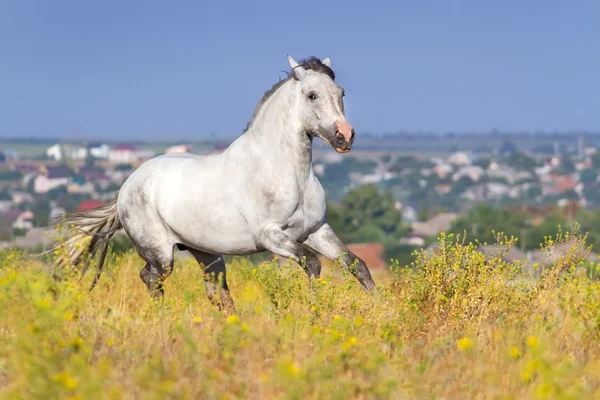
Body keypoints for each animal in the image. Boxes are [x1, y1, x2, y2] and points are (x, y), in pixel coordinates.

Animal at [54, 55, 378, 312]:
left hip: (206, 252)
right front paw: (315, 313)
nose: (344, 136)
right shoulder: (271, 235)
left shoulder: (315, 231)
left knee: (216, 293)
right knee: (152, 278)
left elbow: (356, 265)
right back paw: (164, 319)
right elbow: (312, 264)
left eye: (340, 92)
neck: (288, 172)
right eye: (311, 95)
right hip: (160, 252)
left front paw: (380, 310)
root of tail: (126, 187)